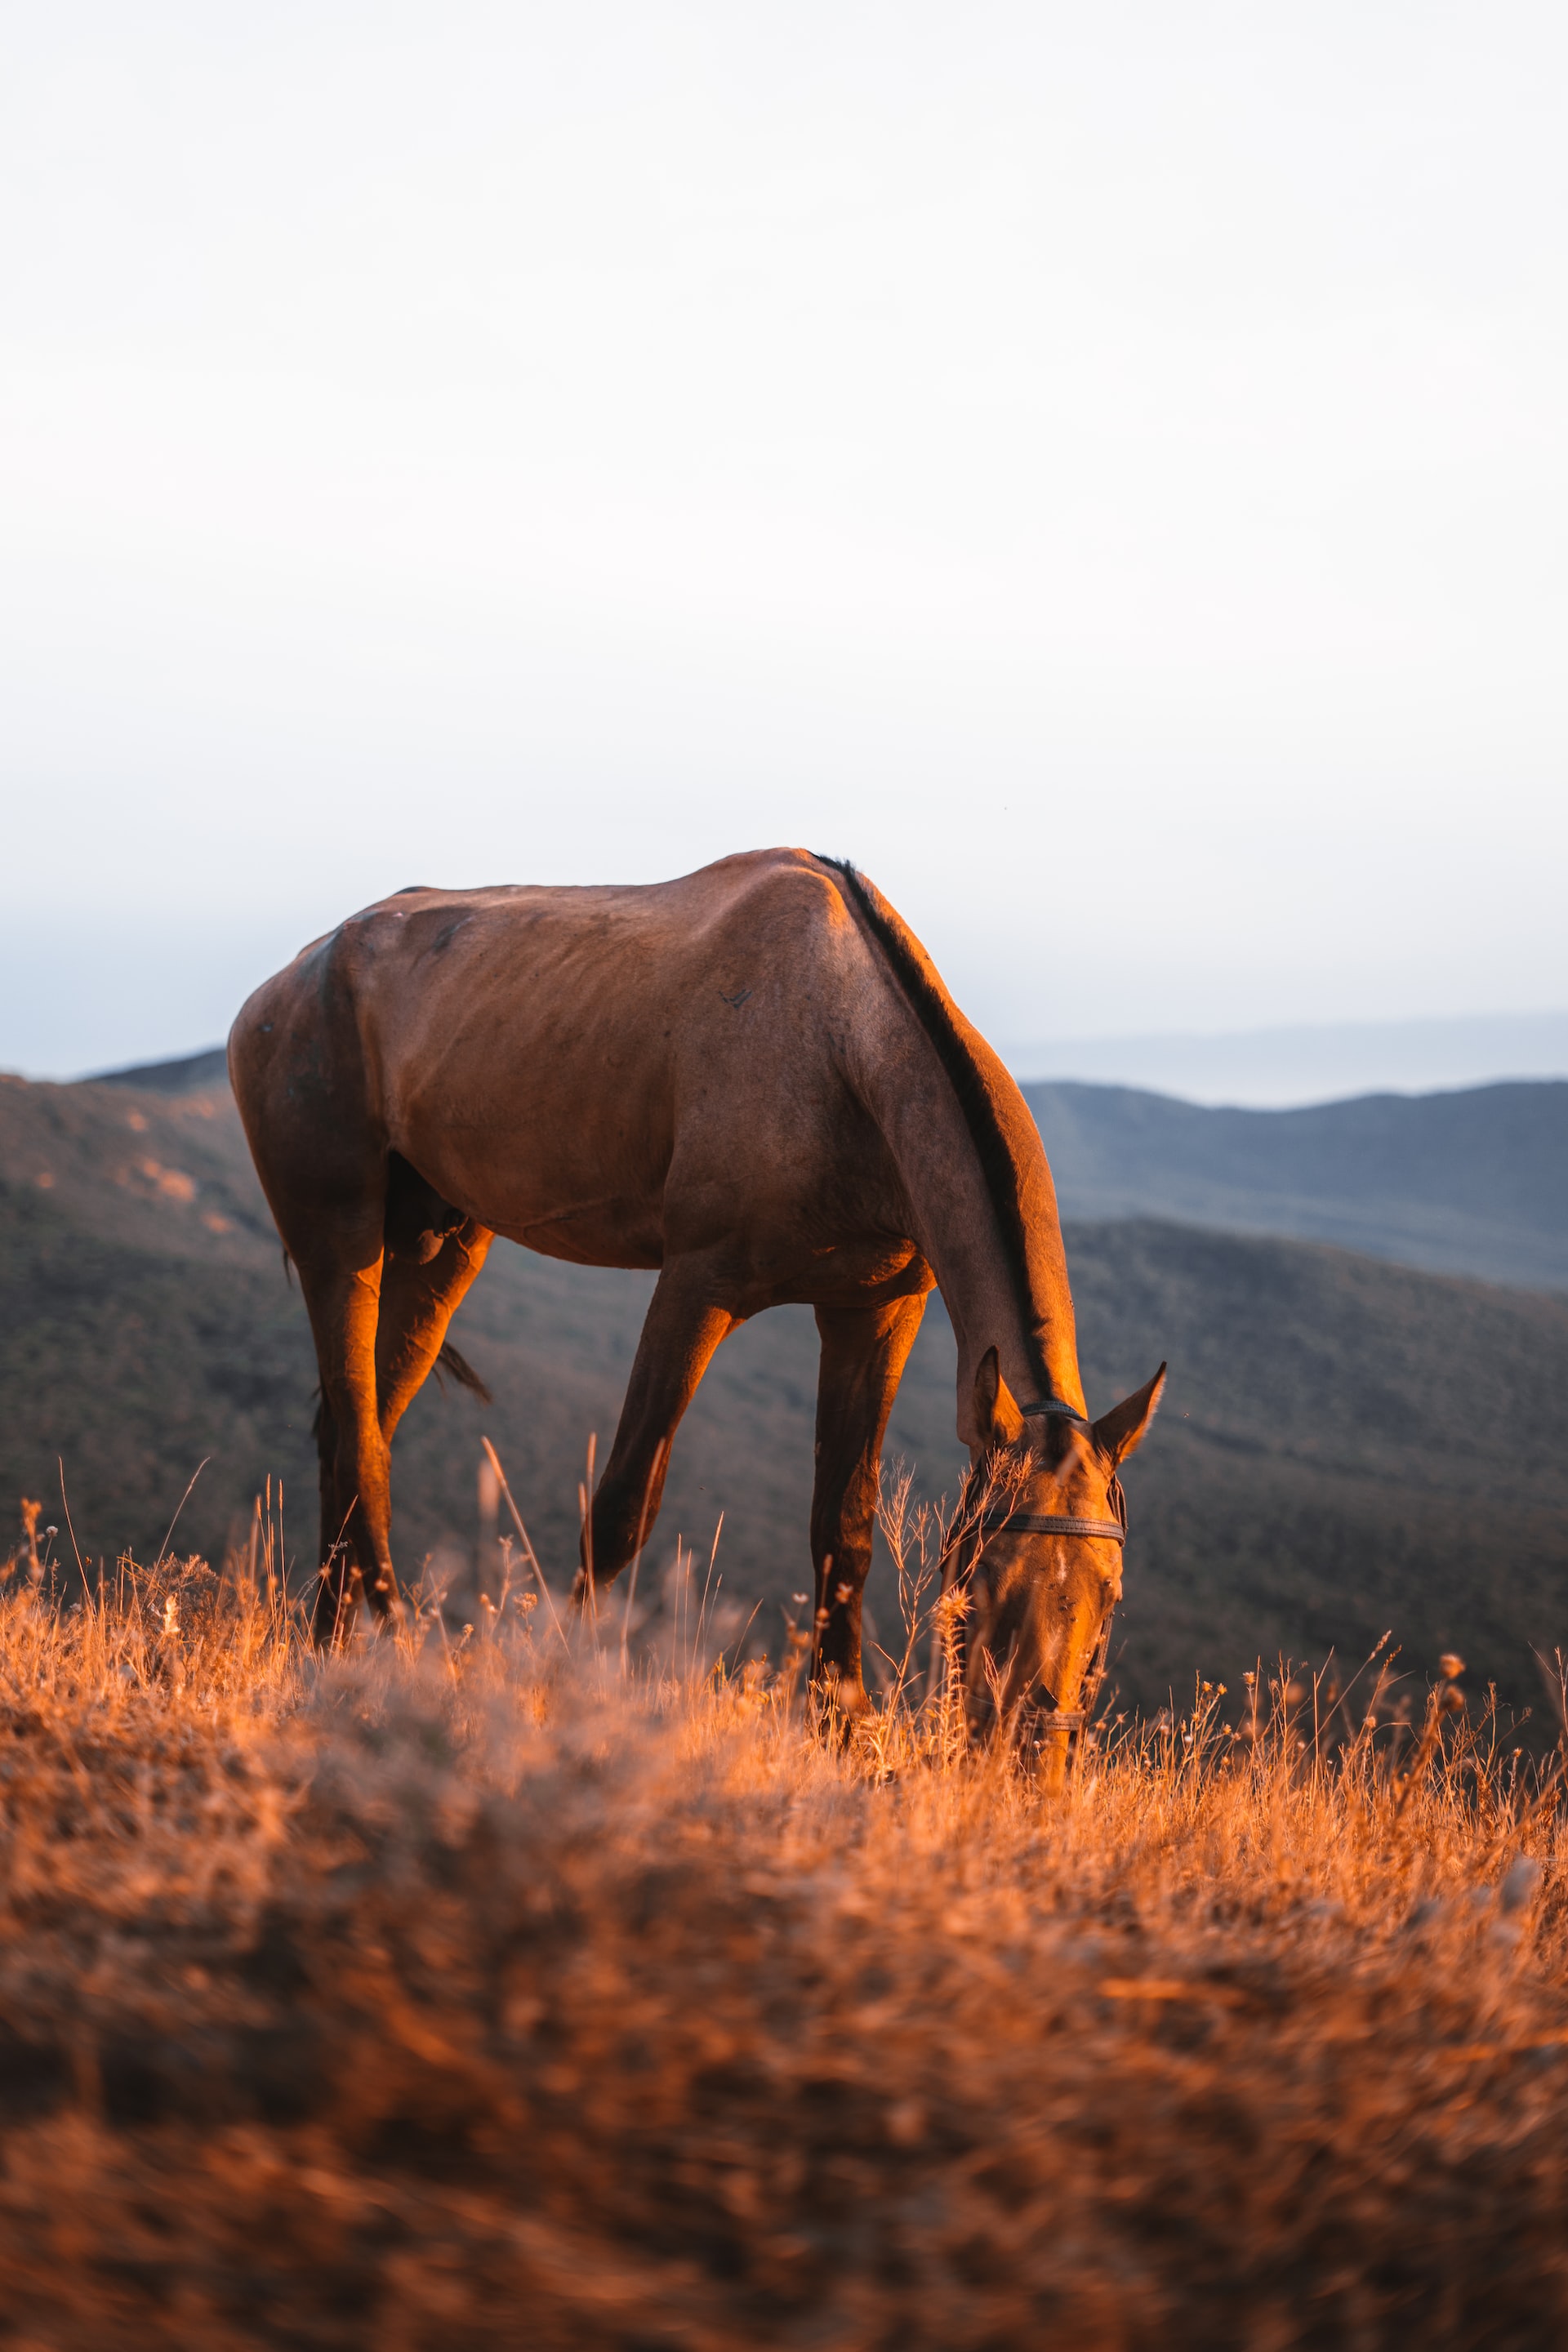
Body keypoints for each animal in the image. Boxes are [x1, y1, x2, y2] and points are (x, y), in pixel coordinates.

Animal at [232, 851, 1165, 1749]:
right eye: (985, 1578)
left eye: (1111, 1595)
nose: (1033, 1758)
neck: (843, 1049)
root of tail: (282, 985)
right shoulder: (696, 1288)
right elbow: (620, 1509)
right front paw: (556, 1689)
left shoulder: (875, 1312)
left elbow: (844, 1524)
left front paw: (841, 1723)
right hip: (340, 1242)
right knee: (359, 1442)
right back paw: (393, 1651)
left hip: (442, 1247)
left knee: (352, 1433)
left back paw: (331, 1653)